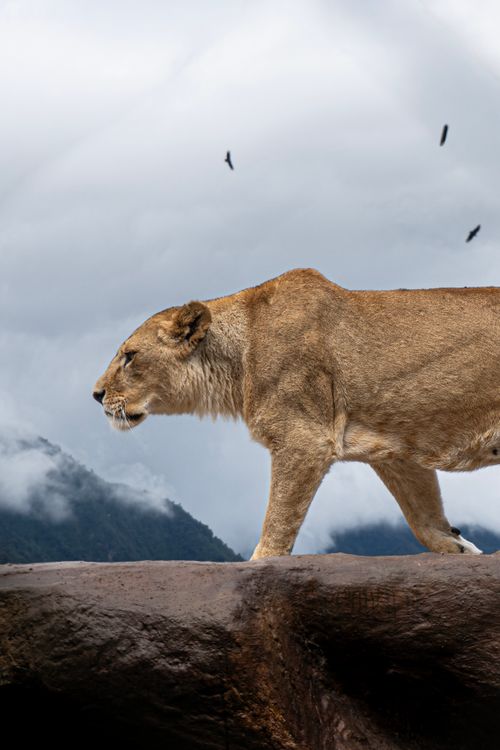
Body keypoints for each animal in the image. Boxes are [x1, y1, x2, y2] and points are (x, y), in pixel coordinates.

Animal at [93, 268, 500, 558]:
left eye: (130, 356)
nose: (96, 395)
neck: (238, 358)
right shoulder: (396, 451)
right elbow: (423, 515)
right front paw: (460, 546)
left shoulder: (303, 439)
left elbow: (278, 521)